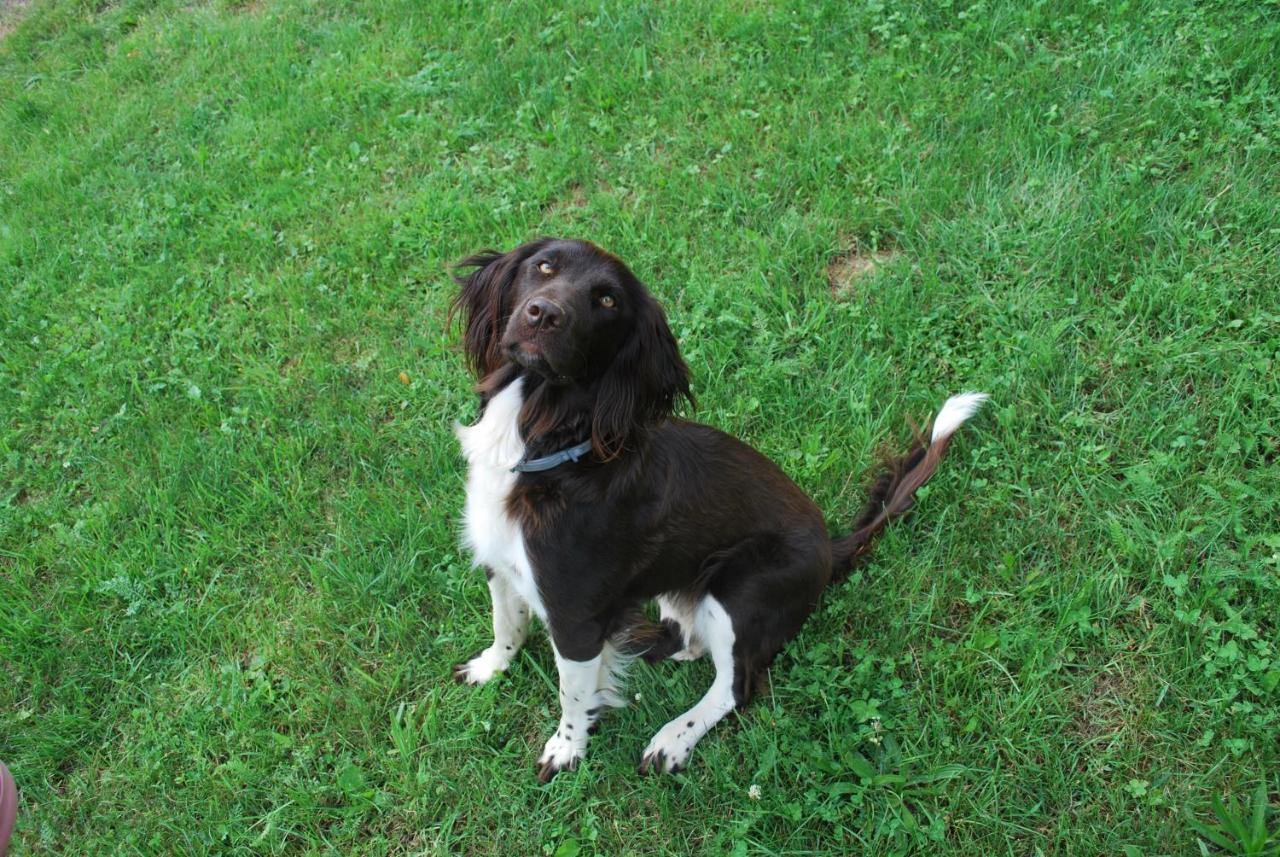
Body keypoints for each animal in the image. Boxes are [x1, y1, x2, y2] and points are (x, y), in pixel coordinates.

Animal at [453, 237, 988, 782]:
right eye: (544, 266)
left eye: (607, 301)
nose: (543, 314)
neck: (545, 444)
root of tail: (829, 546)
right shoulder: (501, 565)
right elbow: (506, 625)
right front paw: (491, 667)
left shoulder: (575, 616)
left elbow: (573, 696)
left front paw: (566, 750)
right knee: (695, 642)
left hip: (738, 587)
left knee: (737, 685)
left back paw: (673, 739)